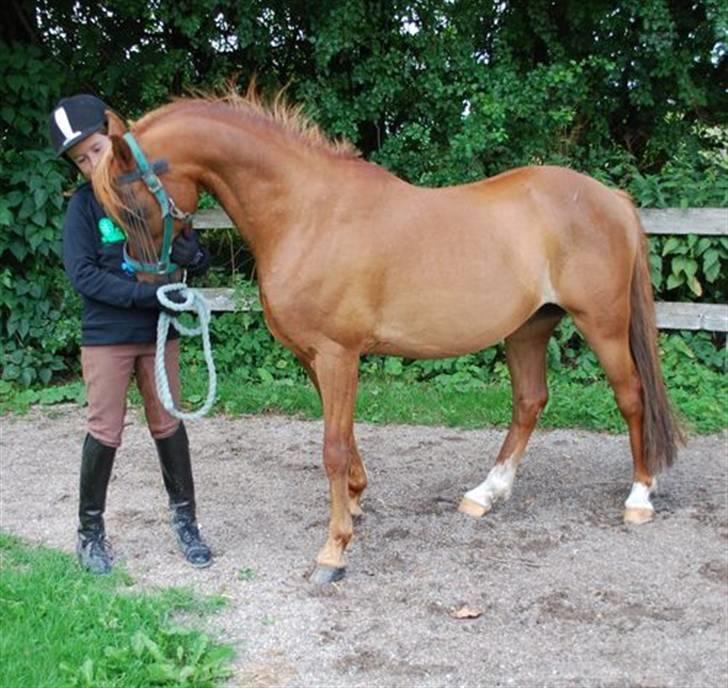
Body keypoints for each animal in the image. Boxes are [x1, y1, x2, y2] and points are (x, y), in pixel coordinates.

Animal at [93, 89, 683, 584]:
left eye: (133, 206)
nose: (147, 291)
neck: (309, 212)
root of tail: (610, 198)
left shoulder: (337, 354)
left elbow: (332, 446)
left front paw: (333, 551)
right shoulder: (317, 358)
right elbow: (345, 436)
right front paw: (355, 501)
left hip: (601, 324)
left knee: (630, 398)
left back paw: (639, 497)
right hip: (528, 329)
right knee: (530, 402)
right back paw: (486, 493)